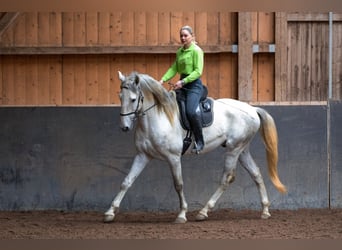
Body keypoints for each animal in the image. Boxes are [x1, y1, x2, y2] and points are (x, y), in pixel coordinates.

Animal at [103, 70, 286, 223]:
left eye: (133, 99)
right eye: (120, 96)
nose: (125, 127)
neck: (158, 117)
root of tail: (252, 109)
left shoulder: (173, 158)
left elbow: (178, 184)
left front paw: (182, 214)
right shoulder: (143, 155)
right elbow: (127, 181)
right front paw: (110, 212)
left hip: (234, 149)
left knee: (227, 178)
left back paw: (203, 212)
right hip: (242, 150)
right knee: (256, 174)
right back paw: (265, 210)